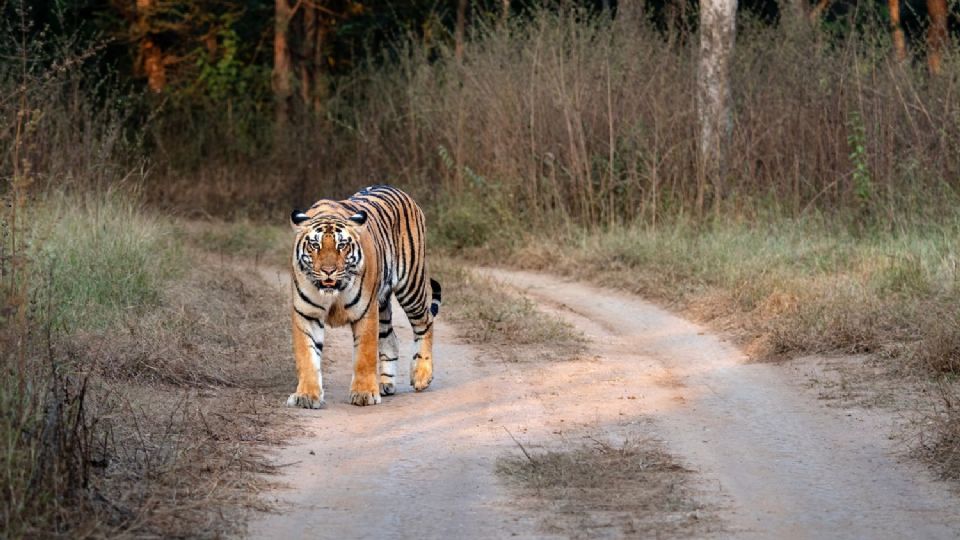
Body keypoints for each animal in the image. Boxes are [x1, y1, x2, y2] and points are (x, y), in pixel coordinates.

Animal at [286, 185, 441, 408]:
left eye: (341, 245)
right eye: (315, 245)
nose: (328, 271)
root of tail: (398, 190)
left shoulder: (365, 311)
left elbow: (364, 355)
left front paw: (364, 393)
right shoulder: (306, 314)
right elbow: (306, 356)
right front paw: (306, 395)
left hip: (411, 284)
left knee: (425, 322)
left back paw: (421, 375)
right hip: (383, 303)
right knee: (391, 339)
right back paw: (386, 384)